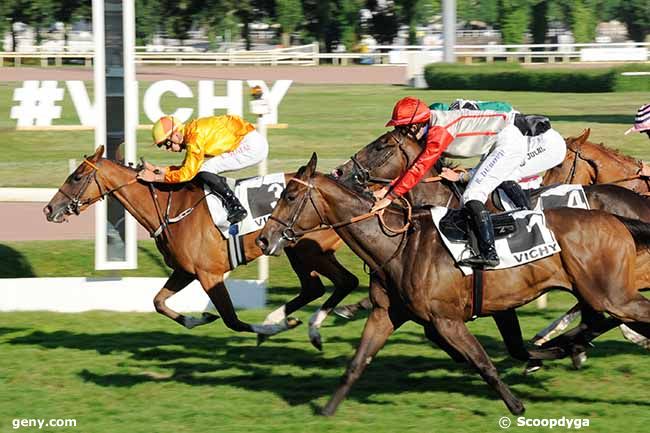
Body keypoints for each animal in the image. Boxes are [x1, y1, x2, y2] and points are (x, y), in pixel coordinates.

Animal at [44, 147, 360, 340]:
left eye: (76, 177)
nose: (49, 208)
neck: (171, 208)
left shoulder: (209, 274)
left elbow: (232, 320)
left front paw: (267, 330)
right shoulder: (185, 270)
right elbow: (158, 302)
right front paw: (198, 319)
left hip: (305, 250)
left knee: (339, 282)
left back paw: (289, 321)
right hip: (298, 250)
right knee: (323, 286)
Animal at [256, 154, 648, 414]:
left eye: (290, 196)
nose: (263, 239)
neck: (399, 244)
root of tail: (617, 219)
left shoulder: (446, 319)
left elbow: (483, 361)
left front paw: (516, 404)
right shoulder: (388, 313)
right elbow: (357, 363)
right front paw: (327, 409)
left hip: (612, 294)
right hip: (599, 294)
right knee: (597, 320)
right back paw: (576, 344)